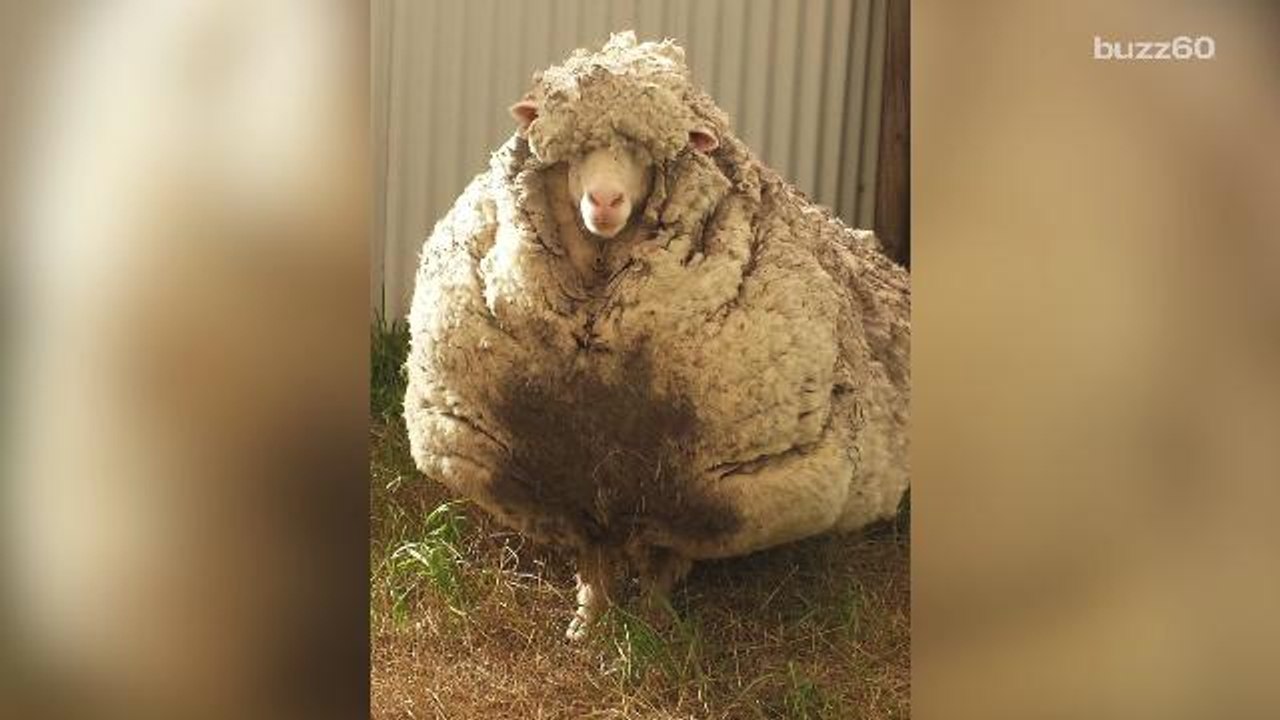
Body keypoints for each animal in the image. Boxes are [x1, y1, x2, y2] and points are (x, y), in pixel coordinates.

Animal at [403, 31, 910, 640]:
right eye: (573, 154)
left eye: (651, 157)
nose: (604, 202)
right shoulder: (563, 483)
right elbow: (594, 559)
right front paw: (588, 625)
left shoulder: (694, 496)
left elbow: (661, 562)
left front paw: (653, 630)